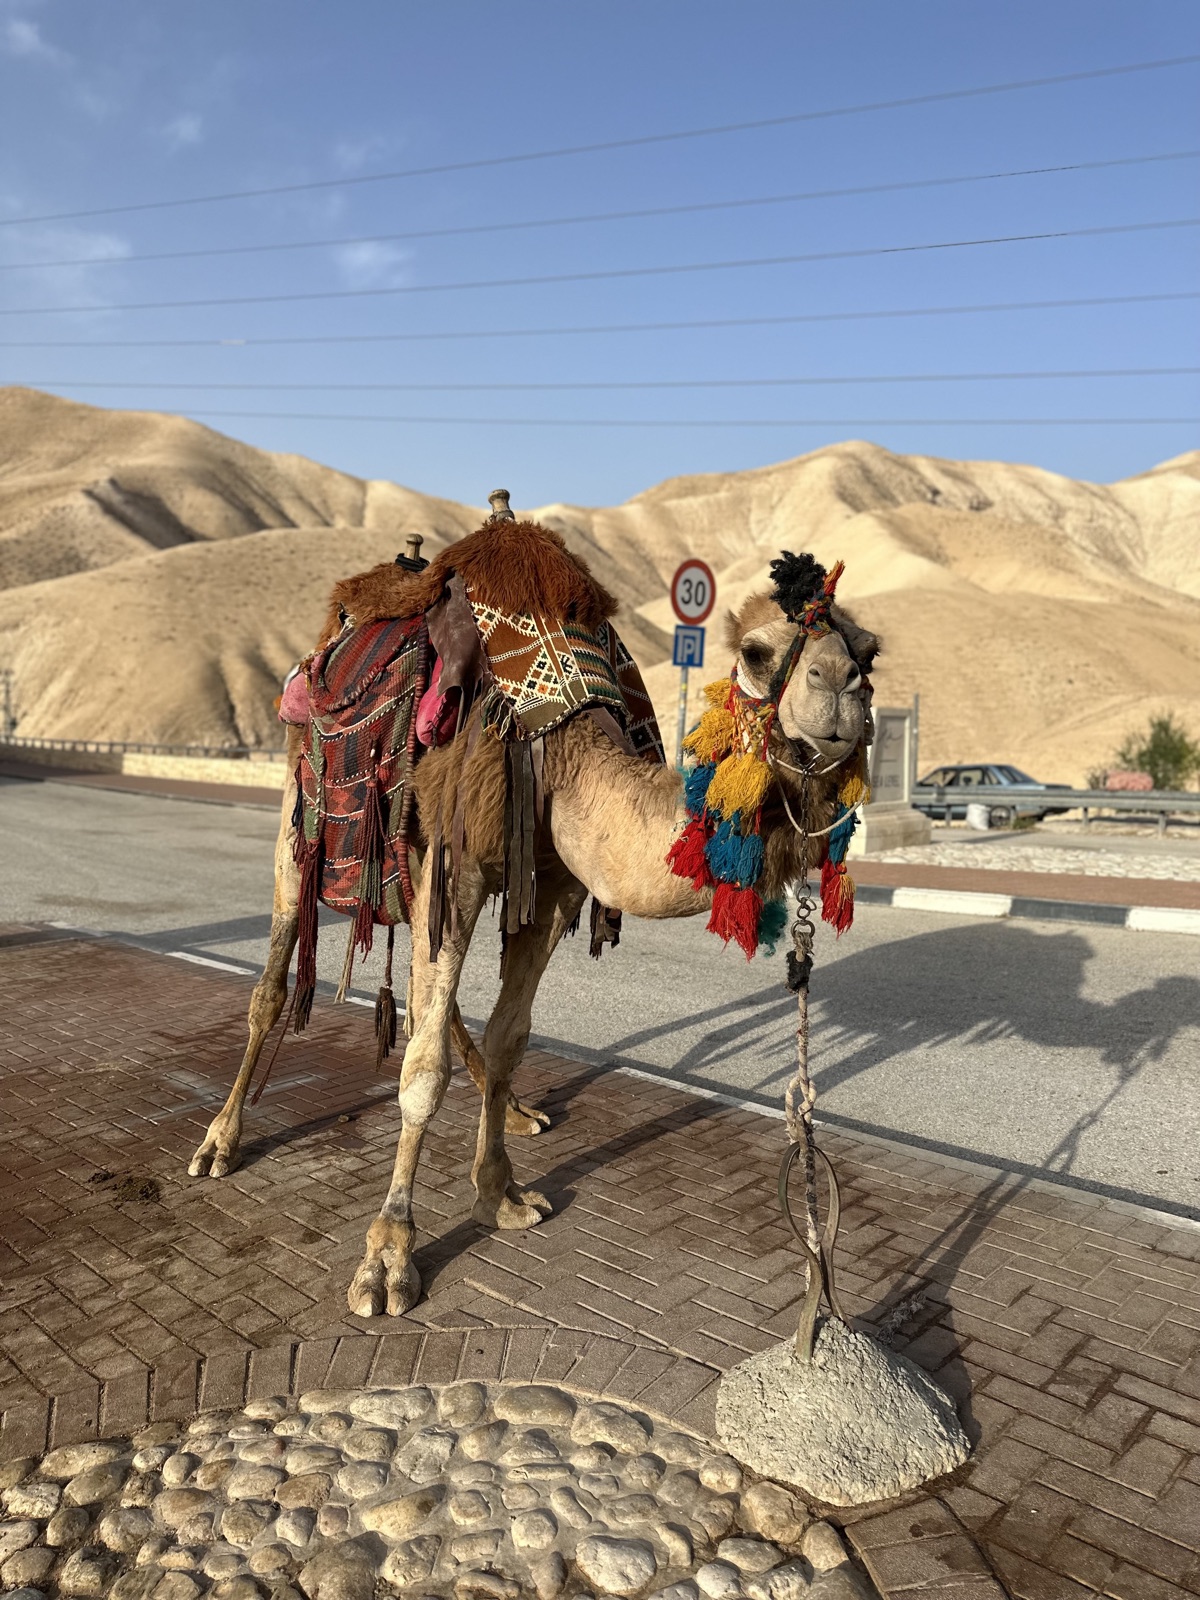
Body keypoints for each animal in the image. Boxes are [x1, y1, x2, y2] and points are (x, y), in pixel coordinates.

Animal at [188, 518, 876, 1318]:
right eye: (758, 652)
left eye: (869, 652)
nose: (839, 689)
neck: (563, 737)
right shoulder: (457, 863)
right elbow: (423, 1069)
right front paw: (389, 1255)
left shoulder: (552, 886)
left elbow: (509, 1035)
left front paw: (500, 1194)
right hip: (304, 825)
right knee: (275, 987)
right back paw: (219, 1142)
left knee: (431, 1004)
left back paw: (513, 1109)